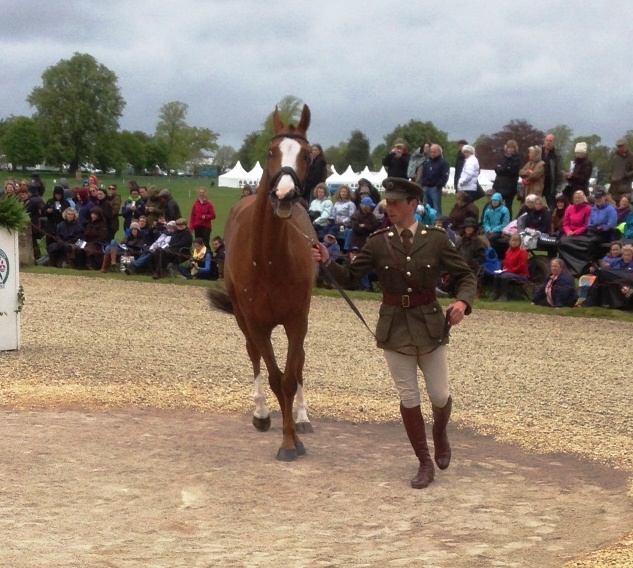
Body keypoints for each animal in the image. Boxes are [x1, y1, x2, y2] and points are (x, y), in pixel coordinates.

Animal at [207, 104, 316, 462]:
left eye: (307, 155)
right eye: (271, 151)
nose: (285, 194)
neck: (268, 259)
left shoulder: (297, 320)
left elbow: (290, 376)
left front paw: (293, 436)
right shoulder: (257, 323)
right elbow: (273, 376)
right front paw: (284, 436)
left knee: (299, 364)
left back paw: (301, 417)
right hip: (243, 318)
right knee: (253, 354)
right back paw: (262, 414)